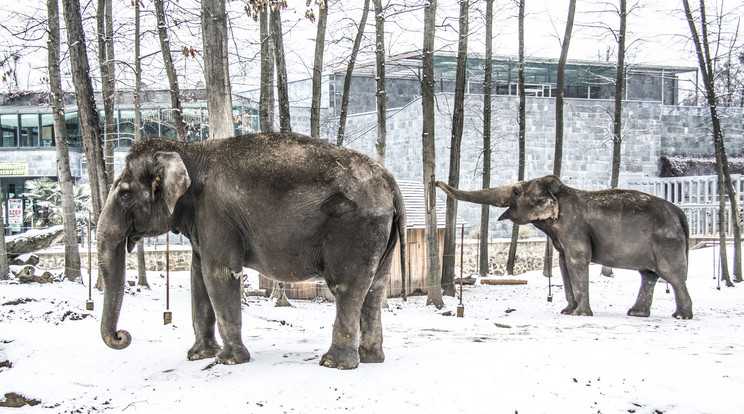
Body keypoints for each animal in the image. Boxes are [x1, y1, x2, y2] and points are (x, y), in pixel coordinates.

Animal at [97, 133, 406, 368]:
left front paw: (228, 360)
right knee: (375, 288)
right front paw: (198, 356)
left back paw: (334, 364)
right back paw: (371, 359)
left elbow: (218, 275)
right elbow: (198, 278)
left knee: (346, 287)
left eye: (124, 194)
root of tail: (390, 182)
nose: (123, 335)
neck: (186, 149)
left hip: (355, 230)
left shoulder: (216, 216)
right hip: (379, 235)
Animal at [436, 176, 692, 318]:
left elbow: (577, 260)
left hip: (667, 241)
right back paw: (637, 313)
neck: (561, 192)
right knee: (648, 275)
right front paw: (567, 311)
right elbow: (563, 263)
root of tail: (680, 213)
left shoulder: (574, 228)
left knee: (673, 276)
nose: (436, 181)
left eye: (517, 191)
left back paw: (681, 316)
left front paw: (580, 314)